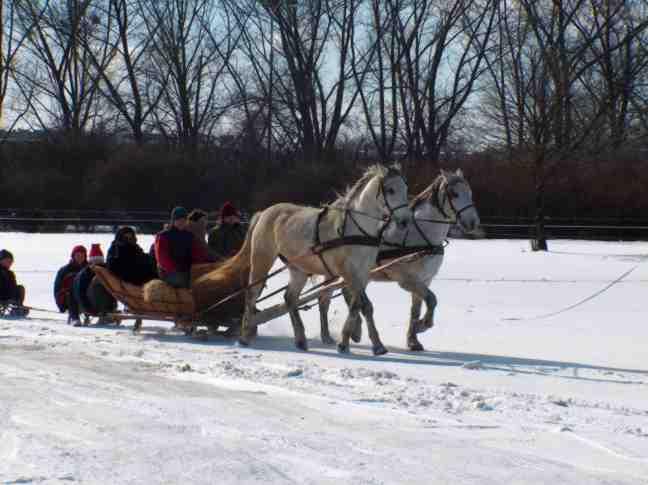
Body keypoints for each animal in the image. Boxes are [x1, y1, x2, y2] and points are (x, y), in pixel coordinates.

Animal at [237, 164, 410, 354]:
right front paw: (363, 344)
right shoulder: (348, 272)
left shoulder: (362, 274)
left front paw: (357, 342)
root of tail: (264, 213)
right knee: (252, 294)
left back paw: (300, 340)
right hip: (262, 260)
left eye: (406, 189)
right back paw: (245, 335)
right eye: (391, 190)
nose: (405, 221)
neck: (356, 229)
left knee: (290, 298)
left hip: (299, 268)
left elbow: (360, 306)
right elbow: (362, 305)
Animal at [316, 168, 478, 350]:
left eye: (470, 193)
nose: (473, 222)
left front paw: (413, 340)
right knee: (324, 300)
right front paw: (422, 326)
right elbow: (431, 300)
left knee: (346, 296)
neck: (420, 233)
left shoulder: (425, 279)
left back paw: (353, 332)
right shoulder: (406, 279)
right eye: (454, 194)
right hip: (332, 272)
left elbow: (417, 309)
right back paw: (327, 336)